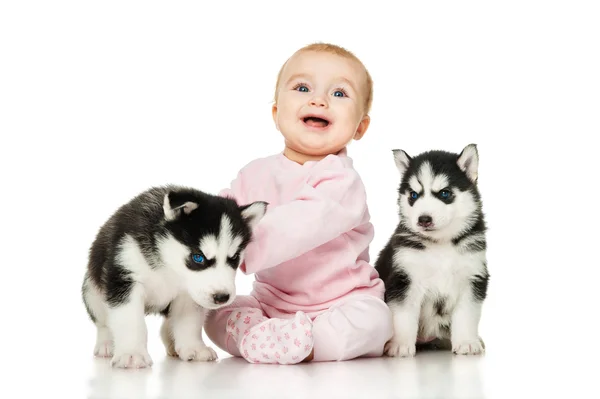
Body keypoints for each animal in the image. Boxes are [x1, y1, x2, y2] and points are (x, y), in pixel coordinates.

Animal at [81, 186, 268, 370]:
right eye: (198, 257)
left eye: (234, 257)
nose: (222, 297)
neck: (169, 267)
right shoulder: (125, 278)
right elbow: (131, 320)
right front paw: (132, 353)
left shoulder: (189, 294)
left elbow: (189, 321)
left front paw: (194, 347)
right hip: (92, 291)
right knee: (103, 322)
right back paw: (107, 344)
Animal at [378, 145, 490, 358]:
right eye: (413, 195)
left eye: (445, 194)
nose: (424, 219)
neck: (441, 245)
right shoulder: (404, 278)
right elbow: (403, 316)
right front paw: (400, 344)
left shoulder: (472, 277)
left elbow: (467, 314)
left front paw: (466, 342)